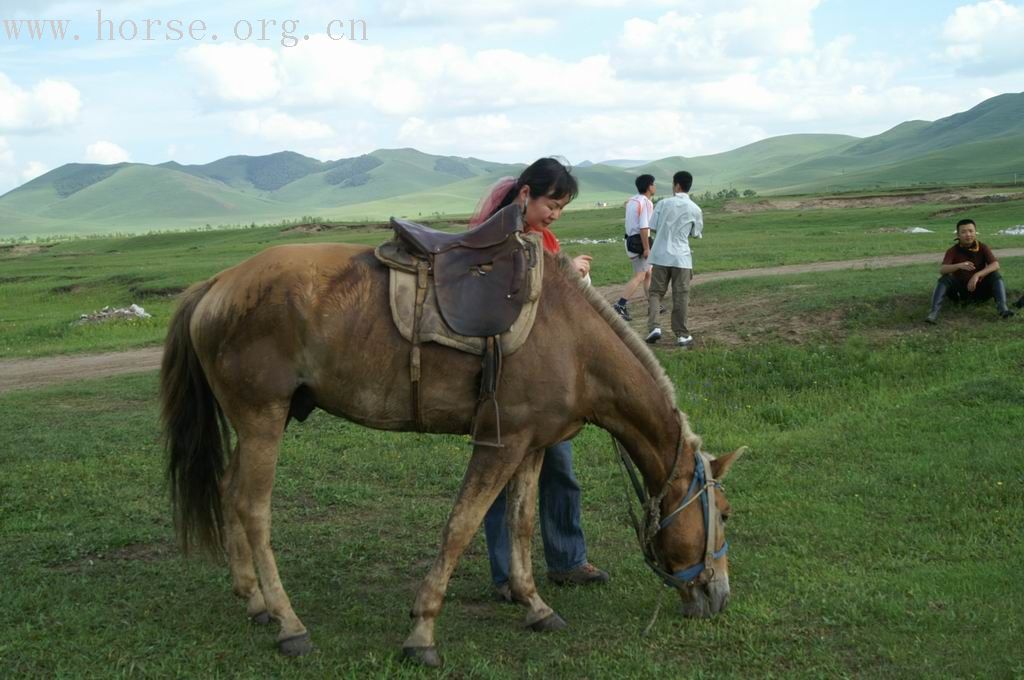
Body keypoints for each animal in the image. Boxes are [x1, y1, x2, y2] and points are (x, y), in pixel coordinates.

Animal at [157, 242, 745, 663]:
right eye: (722, 512)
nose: (719, 597)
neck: (574, 343)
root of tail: (216, 285)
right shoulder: (499, 444)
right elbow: (461, 526)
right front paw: (422, 634)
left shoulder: (532, 445)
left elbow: (521, 524)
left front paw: (535, 607)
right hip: (263, 418)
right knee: (253, 508)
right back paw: (289, 625)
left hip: (257, 421)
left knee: (229, 491)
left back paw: (253, 600)